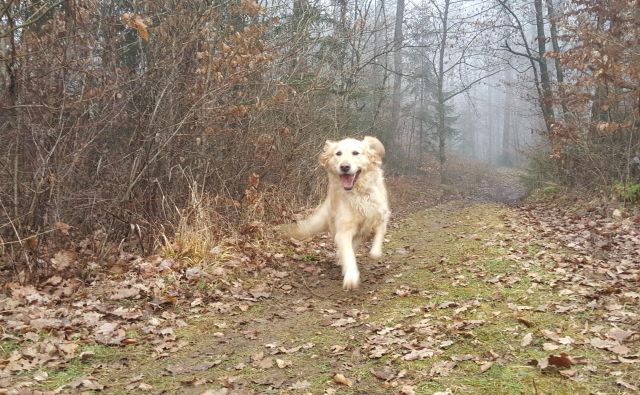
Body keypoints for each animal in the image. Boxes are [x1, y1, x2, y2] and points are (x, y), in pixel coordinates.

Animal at [282, 138, 390, 290]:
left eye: (355, 153)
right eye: (338, 153)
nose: (344, 167)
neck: (359, 193)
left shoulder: (381, 216)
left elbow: (377, 241)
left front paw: (375, 252)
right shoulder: (344, 230)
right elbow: (348, 253)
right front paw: (351, 276)